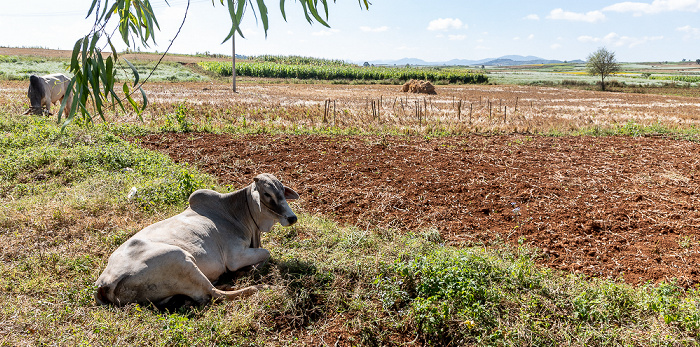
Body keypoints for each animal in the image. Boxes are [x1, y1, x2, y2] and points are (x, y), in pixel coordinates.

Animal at [94, 174, 300, 310]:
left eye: (283, 191)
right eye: (267, 195)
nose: (292, 218)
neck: (236, 214)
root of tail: (104, 282)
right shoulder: (235, 257)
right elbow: (266, 253)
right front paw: (248, 271)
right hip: (180, 259)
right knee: (213, 294)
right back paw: (259, 286)